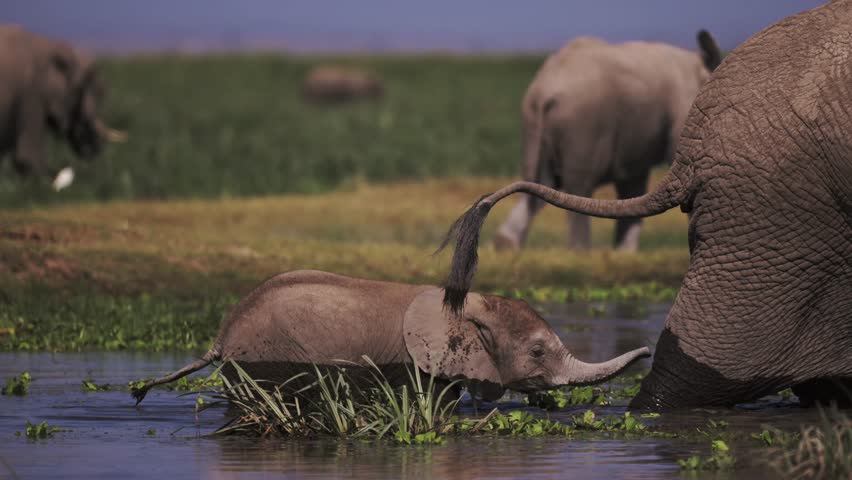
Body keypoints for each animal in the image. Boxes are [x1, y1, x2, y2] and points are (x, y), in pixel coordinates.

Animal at [494, 30, 722, 252]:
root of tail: (543, 92)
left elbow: (633, 183)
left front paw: (624, 254)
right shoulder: (685, 106)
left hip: (532, 122)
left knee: (539, 184)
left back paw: (506, 246)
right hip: (582, 123)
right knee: (578, 184)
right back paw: (580, 253)